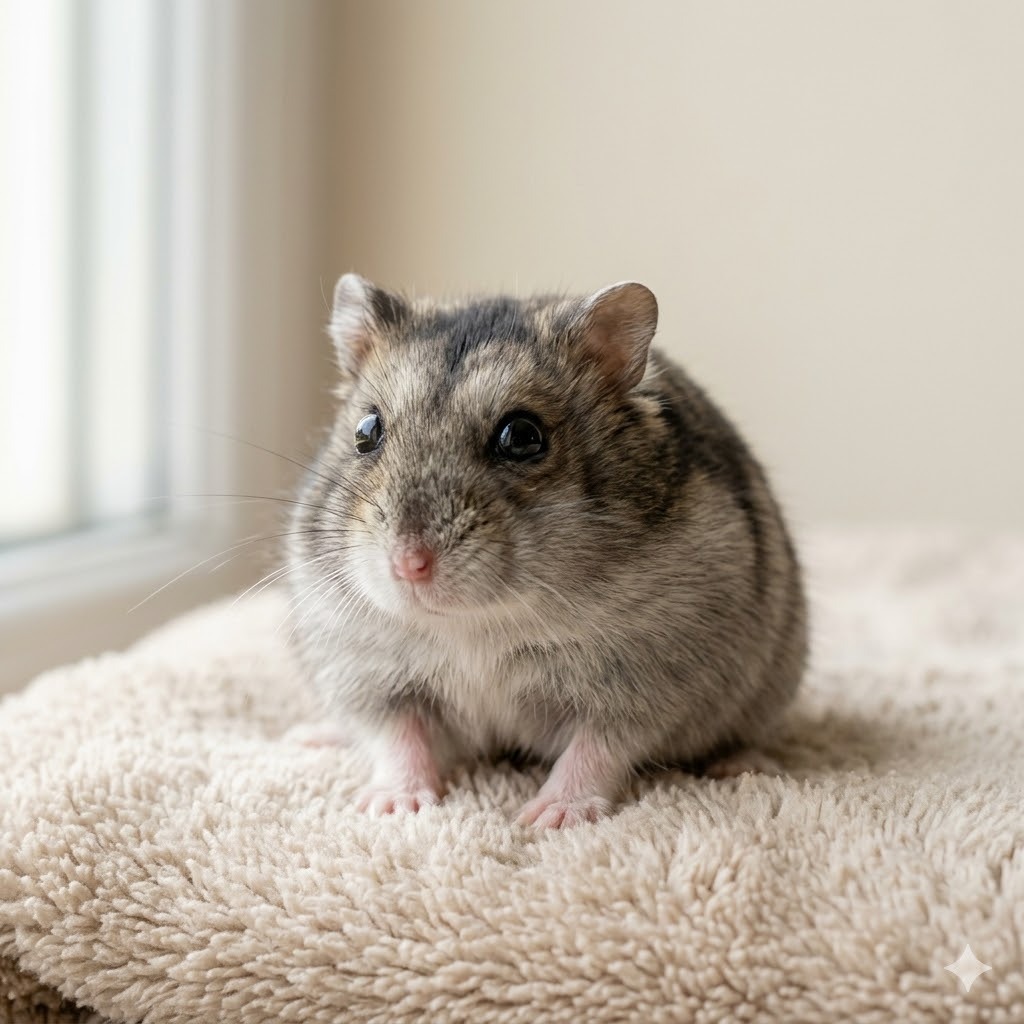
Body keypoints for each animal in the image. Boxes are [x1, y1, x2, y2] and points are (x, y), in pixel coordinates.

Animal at [286, 274, 807, 828]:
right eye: (366, 432)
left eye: (522, 436)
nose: (409, 565)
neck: (476, 625)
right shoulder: (368, 675)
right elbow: (397, 739)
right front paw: (391, 806)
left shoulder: (646, 684)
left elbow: (596, 750)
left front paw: (547, 818)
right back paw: (311, 736)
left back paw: (745, 765)